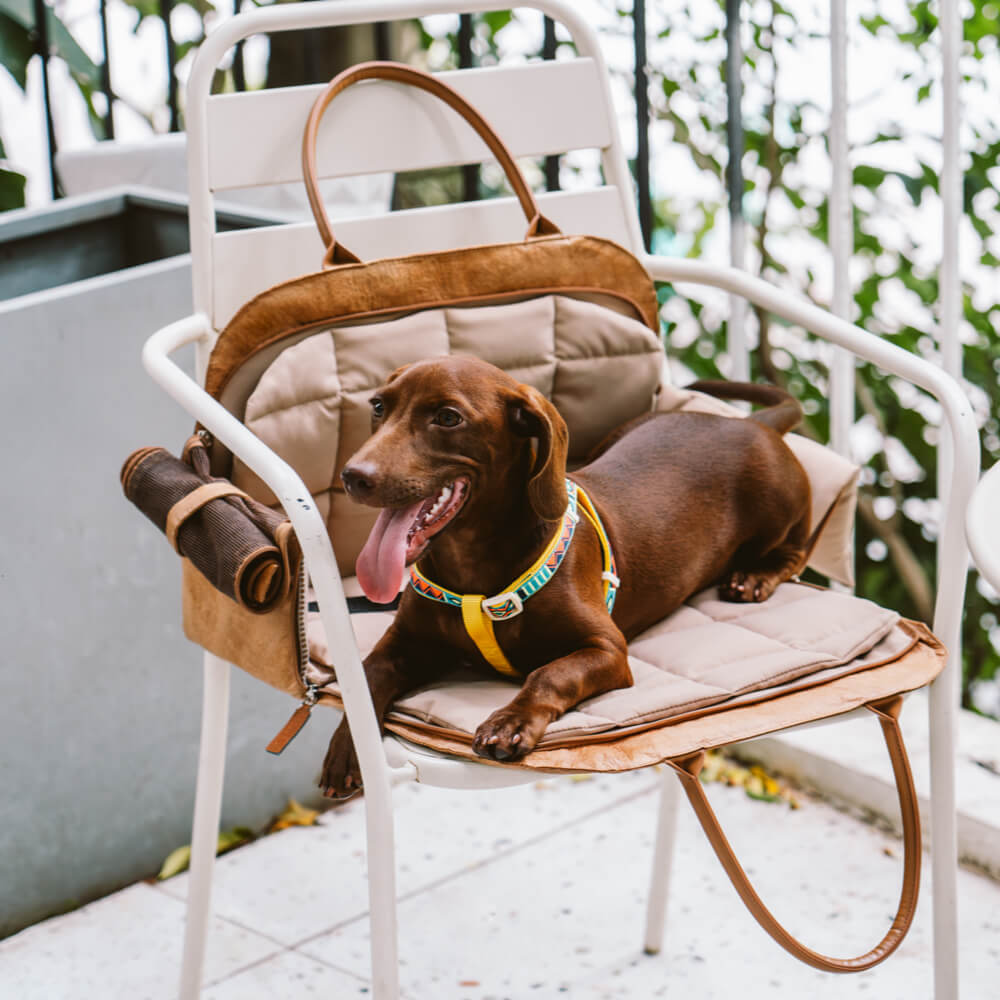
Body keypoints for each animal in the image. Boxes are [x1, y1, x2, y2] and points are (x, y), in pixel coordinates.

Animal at [320, 358, 812, 796]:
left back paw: (755, 577)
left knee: (795, 550)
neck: (474, 571)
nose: (353, 477)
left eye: (447, 417)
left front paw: (511, 722)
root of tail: (754, 424)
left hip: (779, 503)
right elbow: (367, 676)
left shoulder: (607, 650)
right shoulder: (405, 642)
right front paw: (349, 748)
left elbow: (550, 674)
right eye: (378, 406)